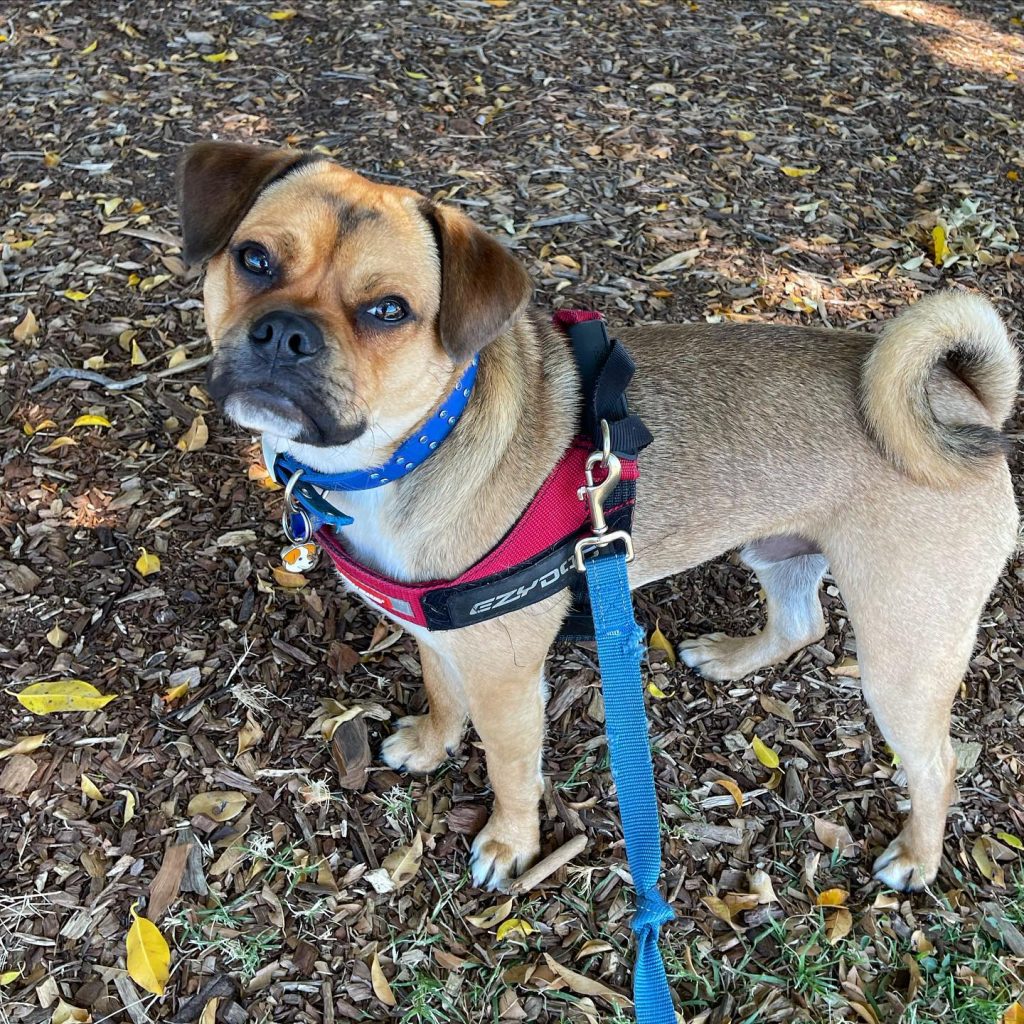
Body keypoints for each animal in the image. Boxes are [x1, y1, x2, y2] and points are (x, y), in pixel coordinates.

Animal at [176, 140, 1015, 892]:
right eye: (254, 259)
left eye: (388, 311)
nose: (286, 333)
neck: (406, 451)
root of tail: (962, 402)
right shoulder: (438, 633)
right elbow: (441, 691)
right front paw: (433, 742)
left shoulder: (508, 680)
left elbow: (510, 766)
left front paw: (510, 845)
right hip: (782, 555)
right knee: (799, 624)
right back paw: (730, 659)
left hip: (903, 650)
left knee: (937, 763)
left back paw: (917, 859)